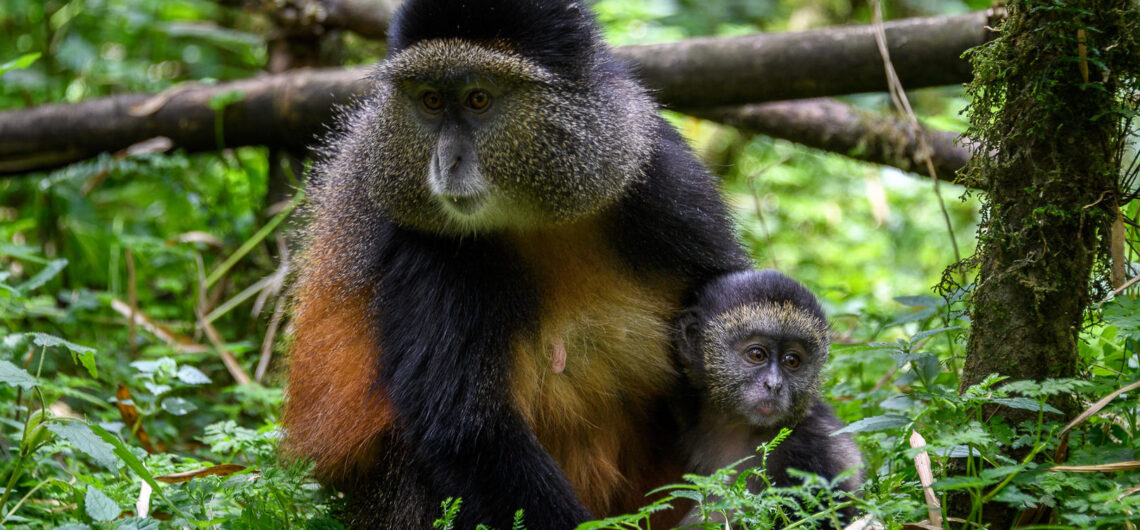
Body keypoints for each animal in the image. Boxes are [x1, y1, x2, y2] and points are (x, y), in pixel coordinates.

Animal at [280, 0, 751, 528]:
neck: (538, 214)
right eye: (431, 101)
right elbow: (467, 431)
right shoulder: (427, 248)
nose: (446, 162)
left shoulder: (664, 180)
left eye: (478, 99)